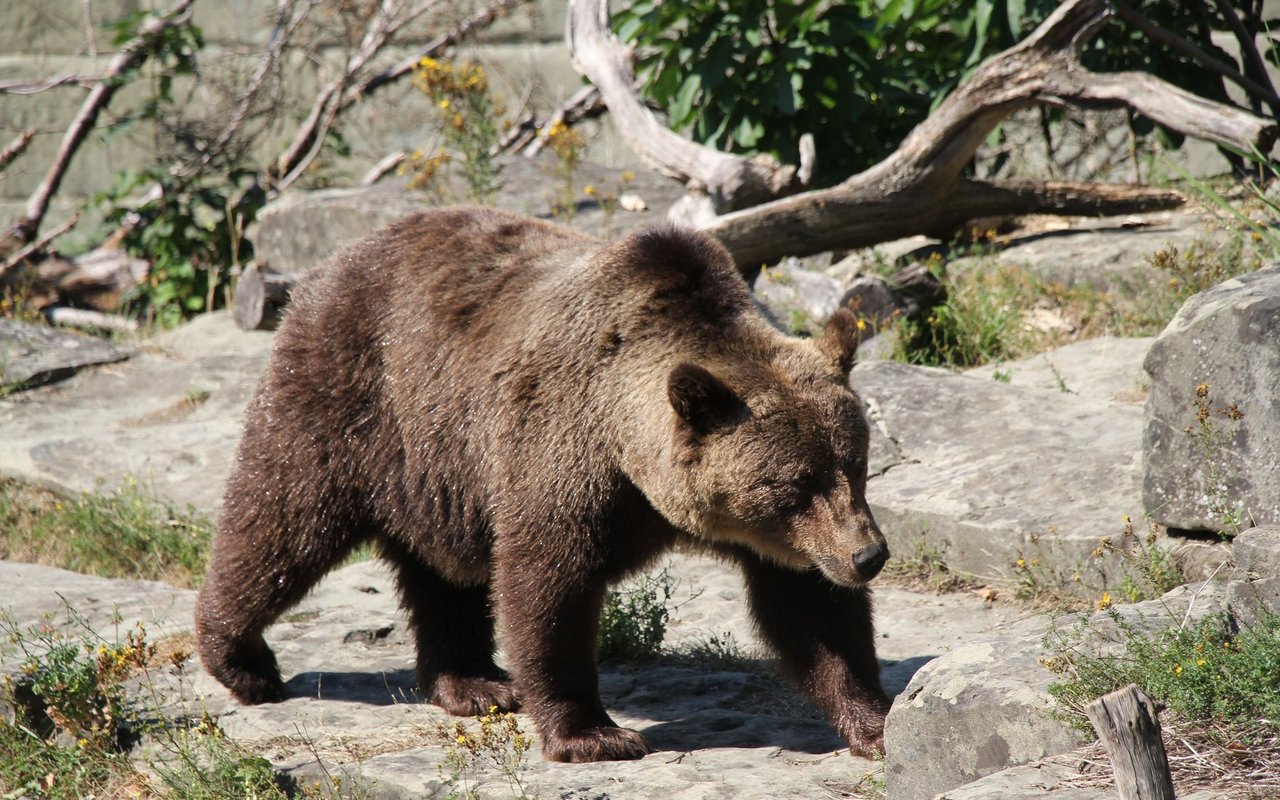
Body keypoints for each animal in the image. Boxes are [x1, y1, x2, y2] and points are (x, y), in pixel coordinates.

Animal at [197, 202, 890, 757]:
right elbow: (548, 585)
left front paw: (874, 722)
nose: (870, 555)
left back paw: (473, 683)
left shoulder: (782, 542)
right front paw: (594, 734)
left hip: (438, 468)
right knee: (281, 520)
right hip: (350, 399)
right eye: (795, 483)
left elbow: (814, 612)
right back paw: (242, 660)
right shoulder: (561, 449)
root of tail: (331, 262)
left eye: (855, 464)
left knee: (443, 576)